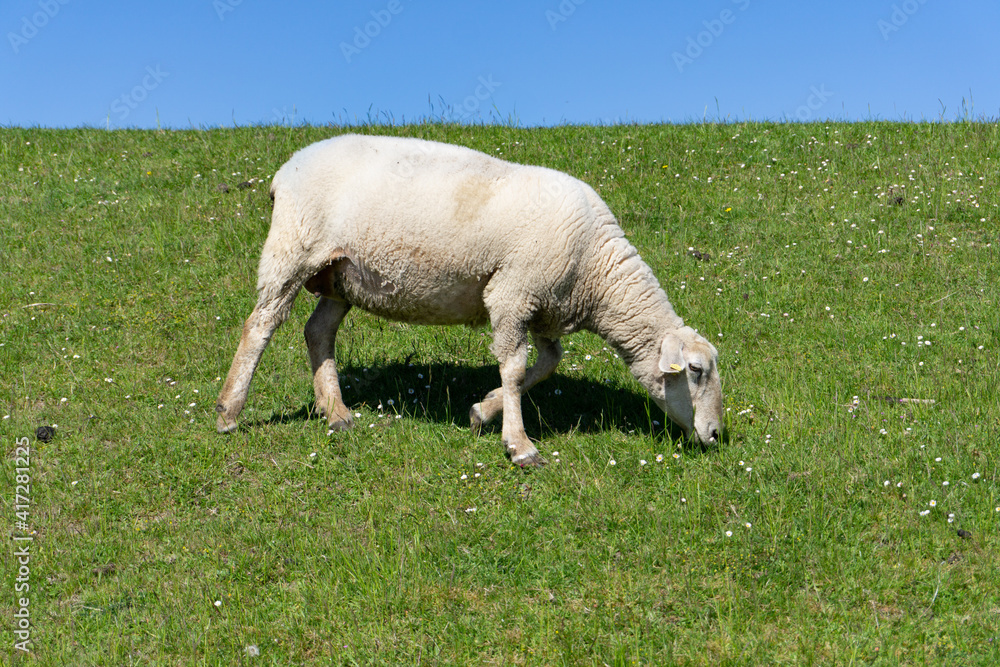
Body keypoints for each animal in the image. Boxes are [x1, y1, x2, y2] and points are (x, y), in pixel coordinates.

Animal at [215, 134, 723, 466]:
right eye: (695, 371)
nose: (717, 434)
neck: (596, 271)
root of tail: (287, 169)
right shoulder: (511, 293)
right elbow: (515, 367)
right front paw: (520, 445)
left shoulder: (542, 306)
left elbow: (546, 364)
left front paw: (484, 410)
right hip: (293, 248)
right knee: (260, 325)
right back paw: (228, 412)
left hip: (342, 273)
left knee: (317, 331)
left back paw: (336, 413)